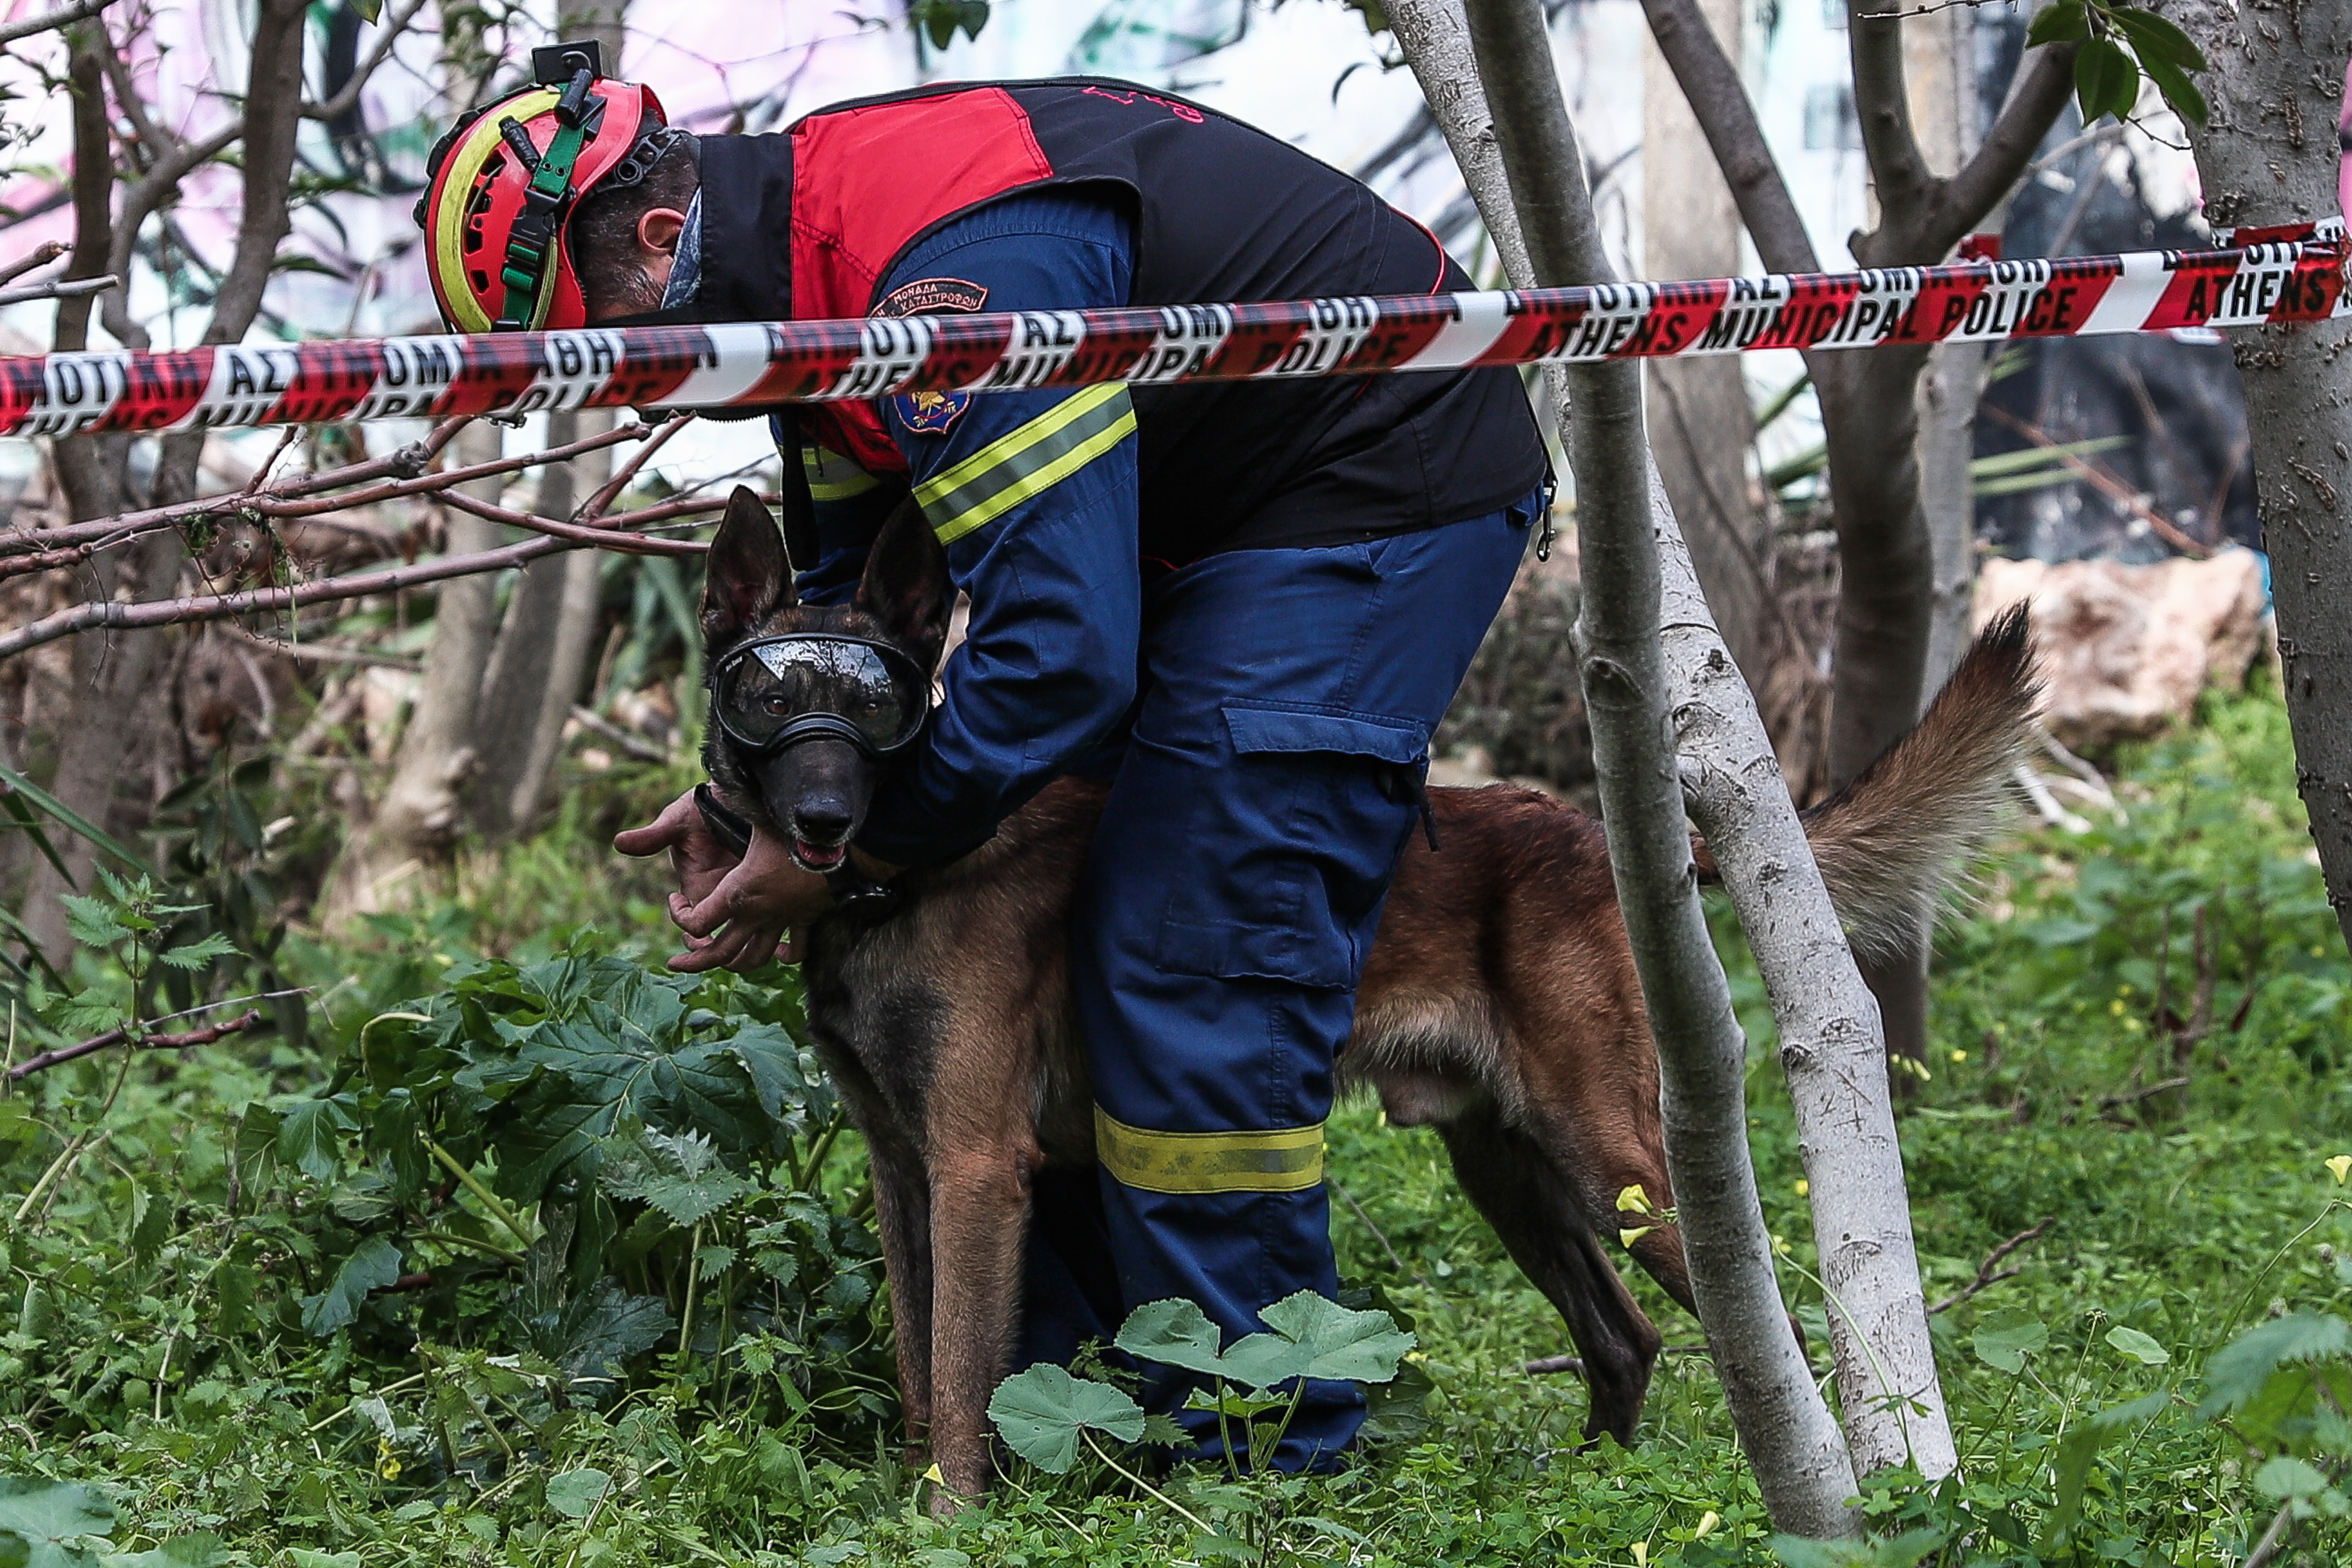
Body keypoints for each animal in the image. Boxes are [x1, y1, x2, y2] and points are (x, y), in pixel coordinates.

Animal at [701, 486, 2041, 1495]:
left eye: (873, 703)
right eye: (768, 698)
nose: (819, 821)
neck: (907, 874)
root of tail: (1589, 834)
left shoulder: (979, 1168)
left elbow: (966, 1375)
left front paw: (953, 1519)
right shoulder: (903, 1167)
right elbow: (920, 1365)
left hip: (1610, 1154)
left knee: (1767, 1328)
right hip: (1509, 1171)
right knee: (1627, 1337)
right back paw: (1586, 1490)